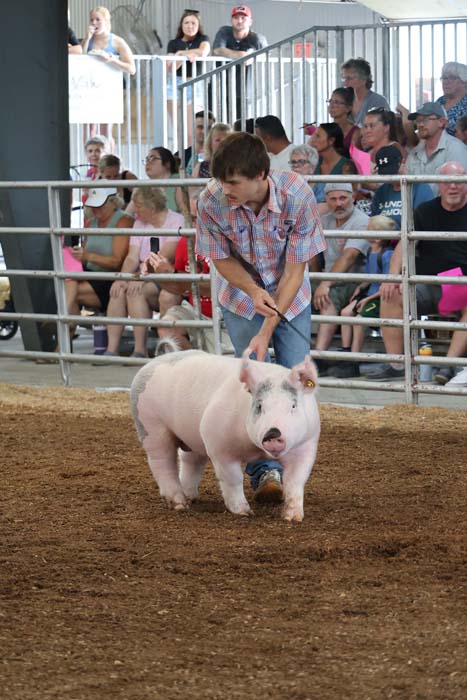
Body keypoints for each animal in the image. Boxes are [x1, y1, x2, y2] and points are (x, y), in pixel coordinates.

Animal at [130, 349, 320, 522]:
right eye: (259, 406)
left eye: (293, 405)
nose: (273, 433)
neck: (255, 451)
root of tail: (150, 364)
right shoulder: (217, 444)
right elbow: (233, 478)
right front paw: (244, 512)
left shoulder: (306, 446)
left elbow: (295, 480)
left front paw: (293, 517)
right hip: (151, 426)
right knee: (162, 462)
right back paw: (180, 505)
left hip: (192, 436)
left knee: (190, 461)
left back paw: (191, 497)